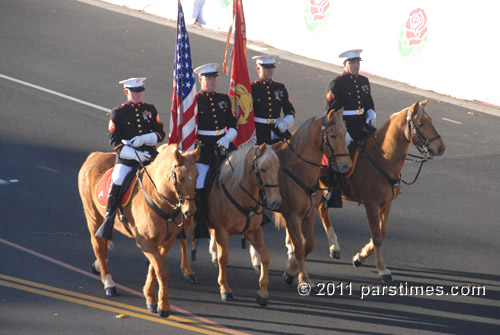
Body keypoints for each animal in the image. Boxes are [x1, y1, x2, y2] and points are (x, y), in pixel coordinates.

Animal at [78, 144, 199, 318]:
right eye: (180, 178)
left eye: (197, 176)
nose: (190, 211)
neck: (159, 199)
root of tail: (94, 156)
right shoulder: (145, 241)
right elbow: (162, 270)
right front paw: (163, 306)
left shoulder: (166, 240)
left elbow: (155, 268)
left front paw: (150, 297)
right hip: (93, 217)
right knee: (98, 246)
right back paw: (108, 282)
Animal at [203, 143, 282, 306]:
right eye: (263, 169)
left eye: (278, 167)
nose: (275, 202)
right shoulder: (222, 231)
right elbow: (223, 258)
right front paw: (225, 289)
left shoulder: (253, 231)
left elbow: (265, 255)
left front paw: (263, 292)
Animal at [316, 100, 446, 284]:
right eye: (421, 123)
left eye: (431, 120)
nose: (440, 148)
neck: (383, 158)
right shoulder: (371, 205)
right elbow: (377, 236)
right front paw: (382, 269)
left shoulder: (386, 204)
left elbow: (382, 232)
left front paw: (360, 257)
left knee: (321, 210)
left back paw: (334, 247)